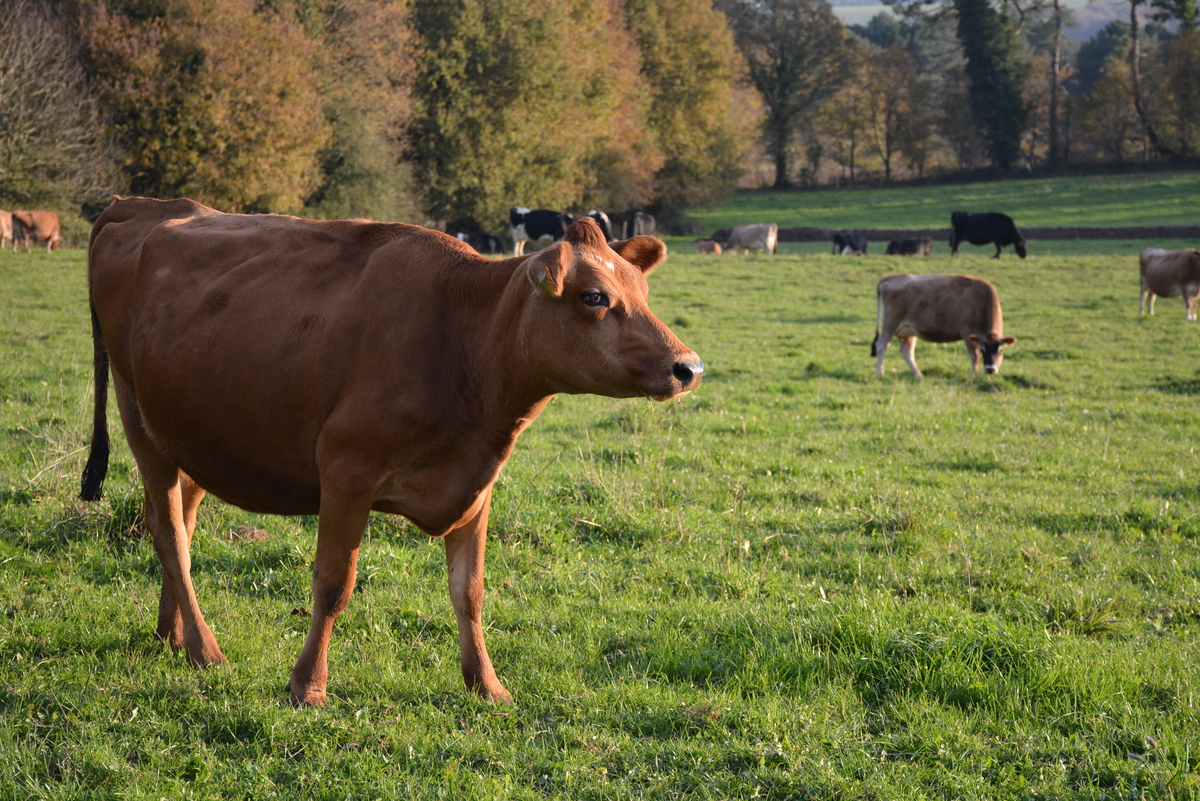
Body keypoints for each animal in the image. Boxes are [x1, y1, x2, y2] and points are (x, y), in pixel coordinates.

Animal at [82, 196, 700, 705]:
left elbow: (470, 590)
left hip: (192, 433)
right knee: (169, 534)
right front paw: (308, 685)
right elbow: (334, 584)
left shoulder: (476, 484)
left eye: (643, 293)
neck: (463, 337)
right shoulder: (346, 470)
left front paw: (486, 684)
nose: (688, 366)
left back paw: (171, 634)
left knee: (179, 521)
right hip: (138, 418)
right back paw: (203, 648)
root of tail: (136, 204)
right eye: (594, 297)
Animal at [873, 273, 1012, 376]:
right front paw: (974, 375)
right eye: (984, 349)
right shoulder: (968, 334)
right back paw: (880, 373)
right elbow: (975, 356)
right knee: (882, 346)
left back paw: (918, 375)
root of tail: (890, 278)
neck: (980, 300)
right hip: (890, 325)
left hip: (909, 331)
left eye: (1001, 349)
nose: (990, 369)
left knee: (907, 351)